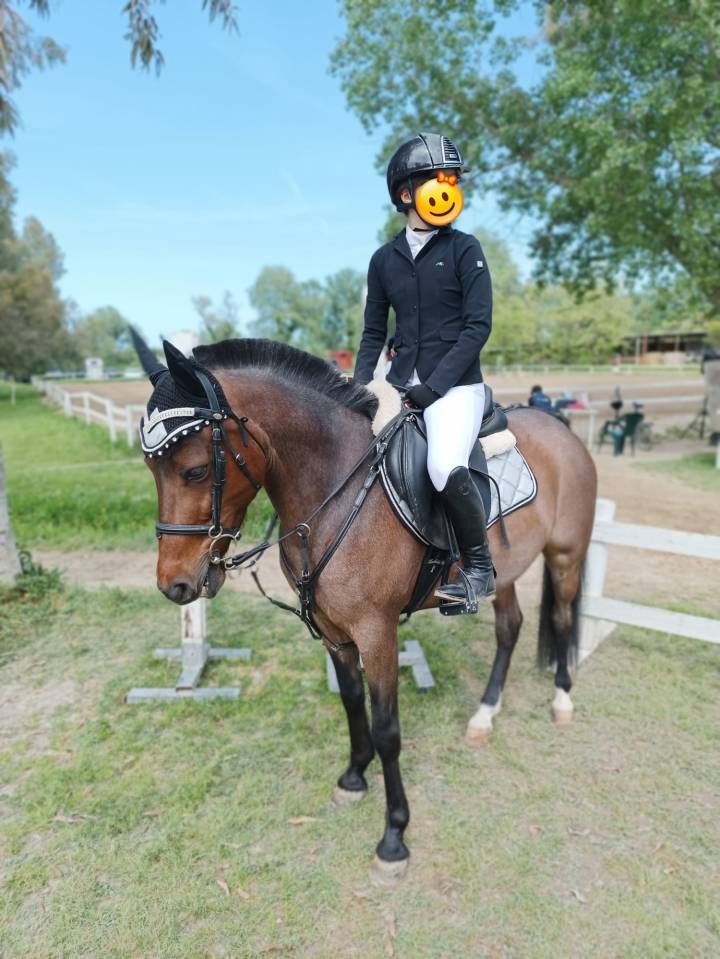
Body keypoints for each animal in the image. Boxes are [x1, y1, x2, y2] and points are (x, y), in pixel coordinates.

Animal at [135, 334, 597, 883]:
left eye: (196, 470)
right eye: (152, 470)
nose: (175, 585)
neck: (336, 491)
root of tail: (561, 430)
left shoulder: (377, 633)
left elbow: (387, 729)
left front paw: (394, 836)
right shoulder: (333, 630)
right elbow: (352, 703)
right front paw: (354, 777)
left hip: (565, 557)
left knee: (564, 620)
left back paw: (562, 702)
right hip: (504, 572)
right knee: (510, 628)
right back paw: (485, 714)